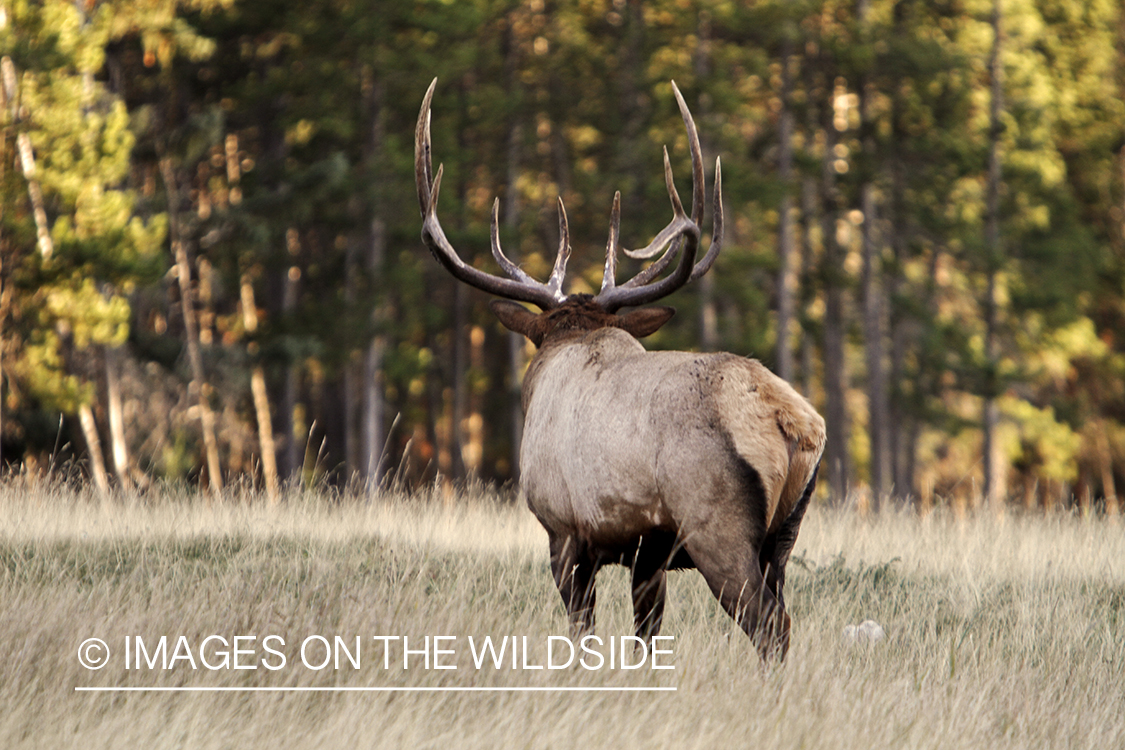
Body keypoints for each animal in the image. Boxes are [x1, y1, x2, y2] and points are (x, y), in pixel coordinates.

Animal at [414, 77, 828, 661]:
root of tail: (792, 421)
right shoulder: (648, 553)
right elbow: (645, 636)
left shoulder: (563, 531)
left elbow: (582, 631)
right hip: (784, 535)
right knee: (784, 616)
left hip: (717, 526)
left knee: (770, 626)